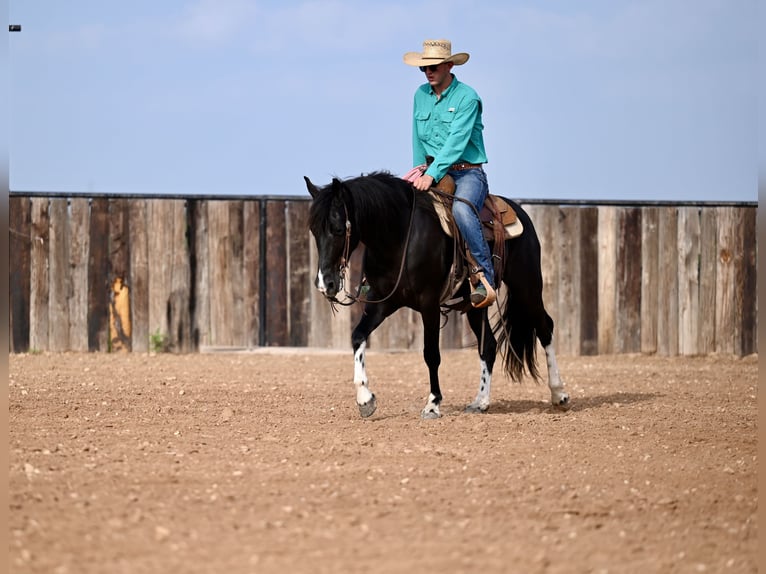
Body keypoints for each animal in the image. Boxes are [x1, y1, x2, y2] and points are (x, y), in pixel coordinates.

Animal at [306, 173, 568, 420]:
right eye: (313, 230)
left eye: (338, 229)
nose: (324, 284)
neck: (400, 235)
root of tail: (519, 211)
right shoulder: (383, 302)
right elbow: (358, 336)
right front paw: (365, 399)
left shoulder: (429, 304)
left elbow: (431, 354)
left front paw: (432, 404)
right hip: (476, 305)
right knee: (489, 346)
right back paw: (480, 402)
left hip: (527, 286)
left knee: (545, 328)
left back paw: (559, 393)